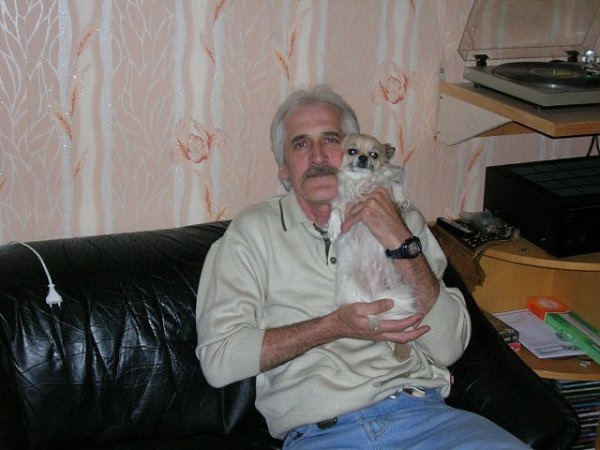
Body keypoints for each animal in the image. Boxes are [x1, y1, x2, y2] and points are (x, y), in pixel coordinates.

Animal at [327, 133, 426, 358]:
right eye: (352, 151)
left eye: (374, 155)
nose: (363, 158)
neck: (361, 182)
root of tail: (375, 292)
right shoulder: (344, 207)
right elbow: (335, 210)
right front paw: (334, 227)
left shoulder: (385, 187)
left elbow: (394, 184)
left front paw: (402, 200)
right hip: (358, 287)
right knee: (369, 307)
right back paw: (374, 320)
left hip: (396, 284)